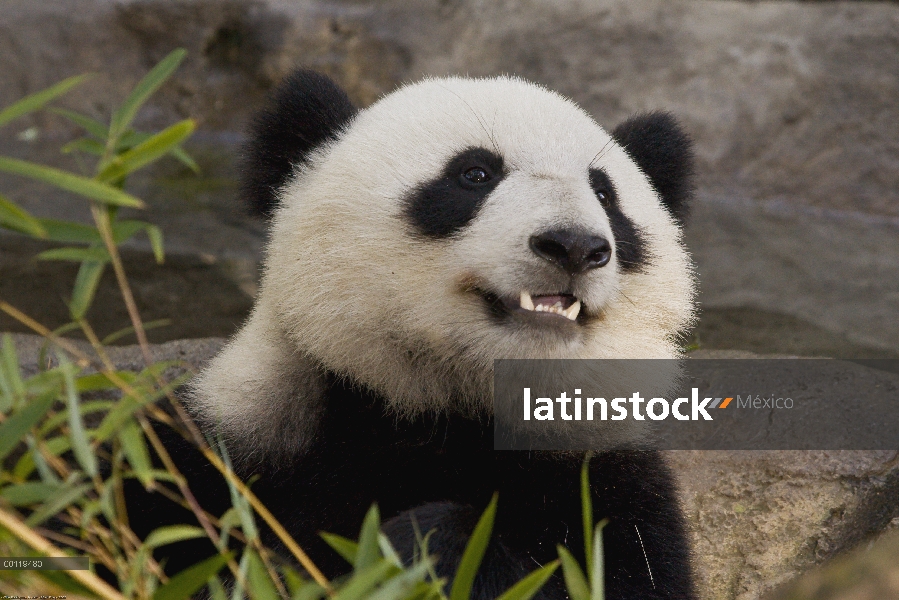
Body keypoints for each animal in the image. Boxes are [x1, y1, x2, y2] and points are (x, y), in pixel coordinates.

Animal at [139, 71, 696, 600]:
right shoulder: (235, 446)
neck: (448, 410)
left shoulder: (603, 485)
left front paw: (427, 549)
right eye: (474, 174)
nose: (574, 245)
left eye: (604, 193)